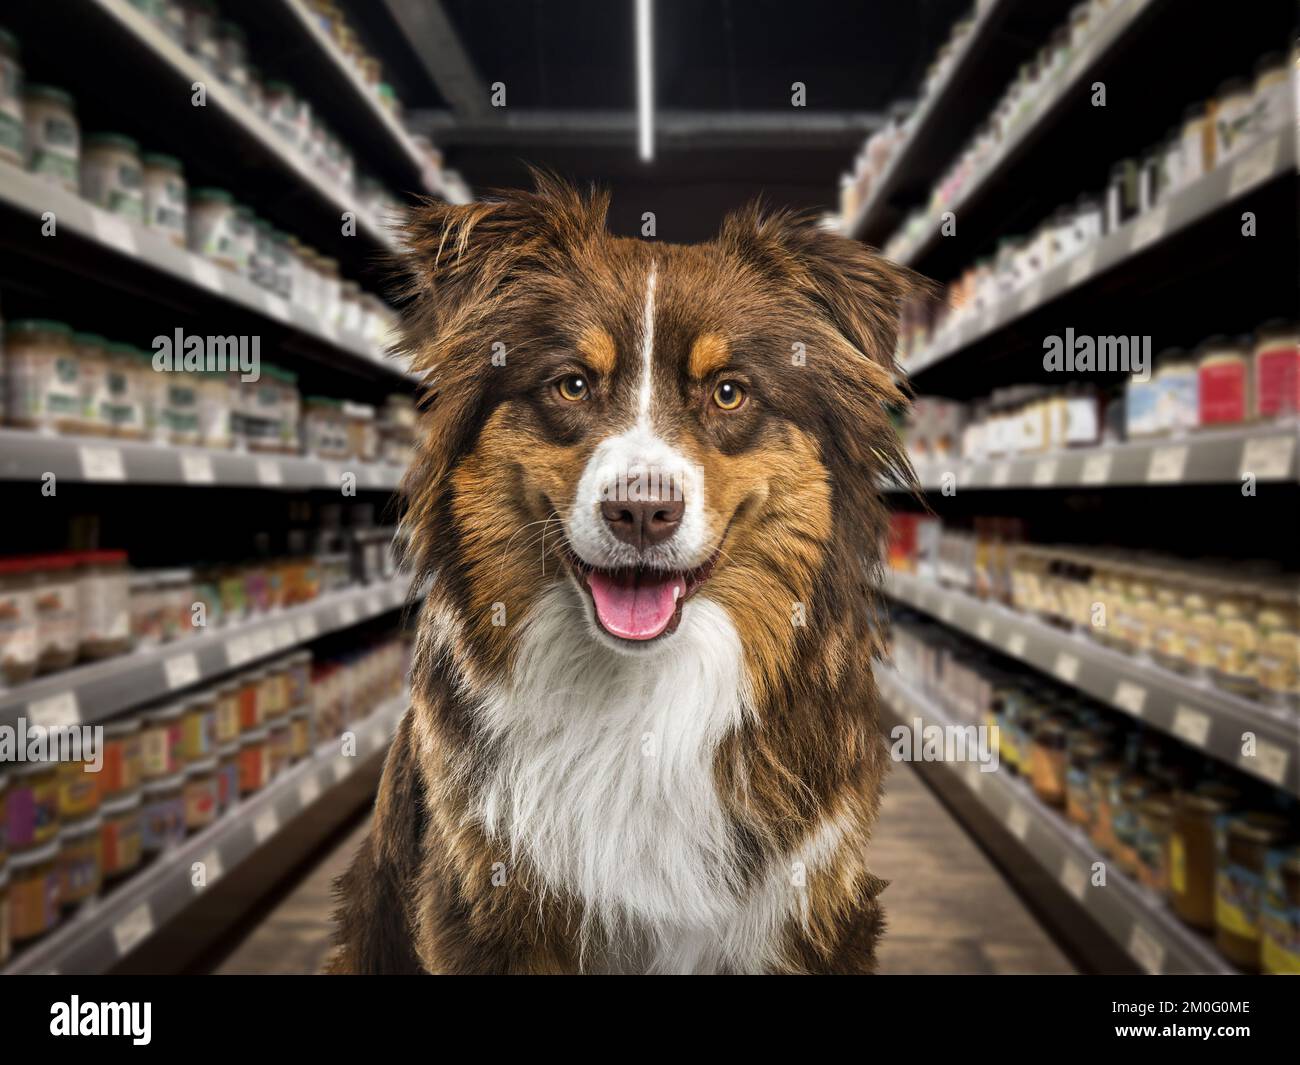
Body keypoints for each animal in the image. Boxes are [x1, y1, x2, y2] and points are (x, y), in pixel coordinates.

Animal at [330, 172, 920, 972]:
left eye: (728, 391)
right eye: (573, 385)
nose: (641, 512)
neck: (641, 693)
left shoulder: (809, 904)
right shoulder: (484, 903)